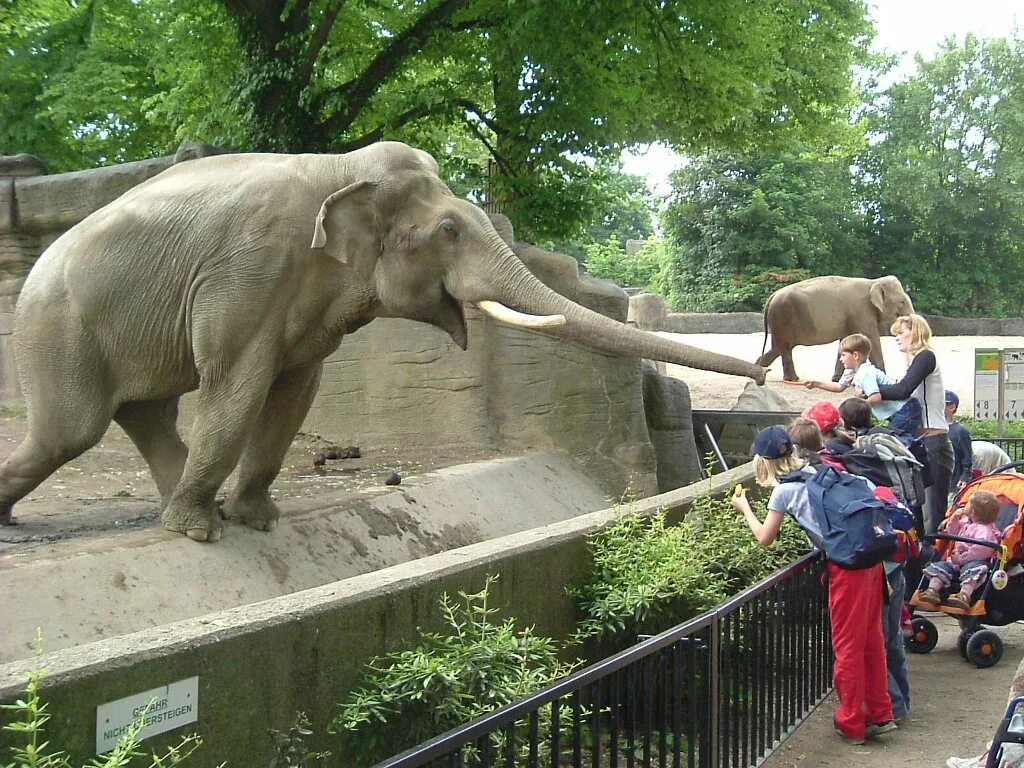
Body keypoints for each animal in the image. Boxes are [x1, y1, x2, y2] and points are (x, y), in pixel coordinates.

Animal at [0, 141, 770, 544]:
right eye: (450, 231)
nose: (762, 379)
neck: (341, 167)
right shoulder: (248, 272)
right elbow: (238, 384)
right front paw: (207, 535)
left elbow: (296, 388)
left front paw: (254, 519)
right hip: (58, 327)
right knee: (70, 431)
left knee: (142, 415)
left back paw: (176, 507)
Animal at [753, 276, 913, 385]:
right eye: (902, 302)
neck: (873, 282)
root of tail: (772, 297)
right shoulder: (861, 311)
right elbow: (870, 337)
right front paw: (884, 379)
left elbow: (845, 342)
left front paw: (835, 380)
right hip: (783, 317)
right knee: (785, 347)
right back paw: (792, 379)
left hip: (778, 321)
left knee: (776, 349)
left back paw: (758, 370)